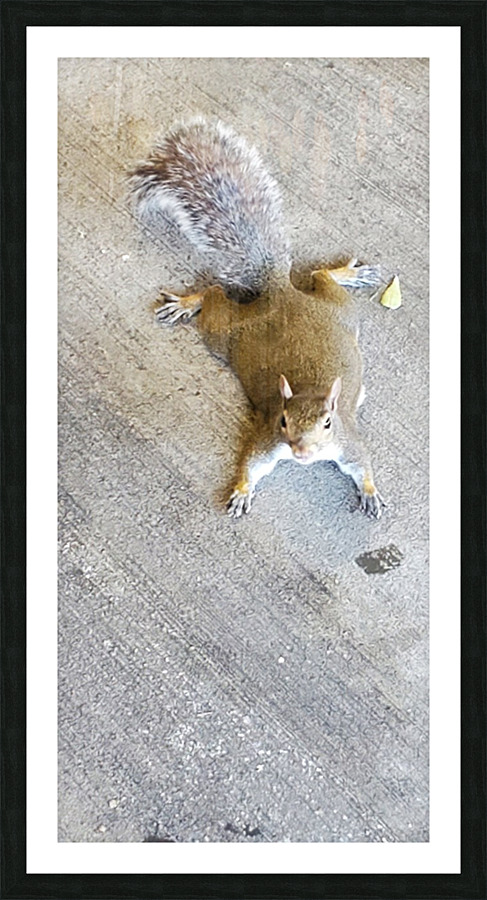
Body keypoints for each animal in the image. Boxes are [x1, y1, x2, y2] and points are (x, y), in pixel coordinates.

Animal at [130, 117, 385, 519]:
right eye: (283, 419)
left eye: (328, 423)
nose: (301, 452)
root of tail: (281, 292)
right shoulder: (268, 440)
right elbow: (251, 462)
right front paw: (240, 490)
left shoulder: (349, 442)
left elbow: (364, 464)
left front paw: (371, 492)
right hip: (224, 333)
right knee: (216, 293)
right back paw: (188, 301)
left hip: (342, 311)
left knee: (319, 277)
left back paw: (347, 273)